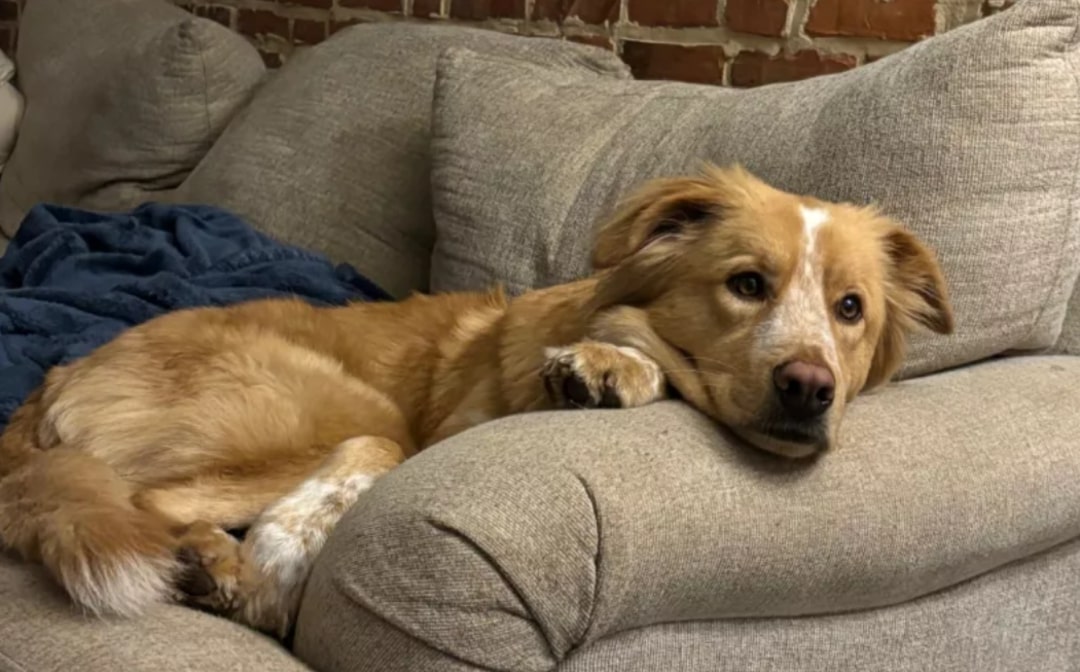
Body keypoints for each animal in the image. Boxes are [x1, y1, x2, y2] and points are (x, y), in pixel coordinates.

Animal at [0, 163, 954, 635]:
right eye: (748, 284)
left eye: (851, 309)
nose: (809, 389)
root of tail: (55, 377)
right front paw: (277, 561)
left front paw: (610, 372)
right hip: (343, 405)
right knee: (150, 498)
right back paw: (229, 564)